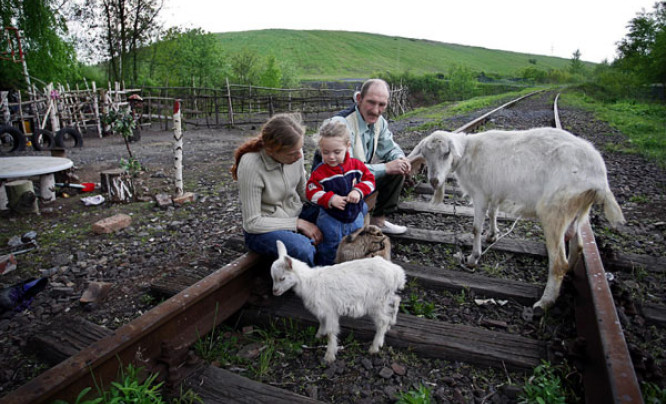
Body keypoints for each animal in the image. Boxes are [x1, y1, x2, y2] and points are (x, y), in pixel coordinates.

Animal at [270, 240, 404, 362]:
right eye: (272, 277)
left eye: (282, 278)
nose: (274, 292)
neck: (309, 281)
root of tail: (397, 272)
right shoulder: (322, 310)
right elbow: (321, 322)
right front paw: (319, 335)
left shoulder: (330, 310)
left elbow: (331, 332)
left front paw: (329, 356)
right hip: (385, 296)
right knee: (396, 300)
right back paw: (391, 323)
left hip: (375, 301)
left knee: (382, 321)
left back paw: (375, 347)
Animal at [408, 129, 624, 310]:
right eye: (425, 156)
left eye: (446, 153)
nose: (434, 181)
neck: (468, 153)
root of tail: (599, 179)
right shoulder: (493, 191)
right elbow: (493, 212)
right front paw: (492, 235)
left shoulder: (480, 194)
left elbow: (476, 227)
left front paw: (473, 257)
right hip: (578, 211)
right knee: (578, 244)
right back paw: (569, 271)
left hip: (555, 210)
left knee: (558, 262)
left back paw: (544, 303)